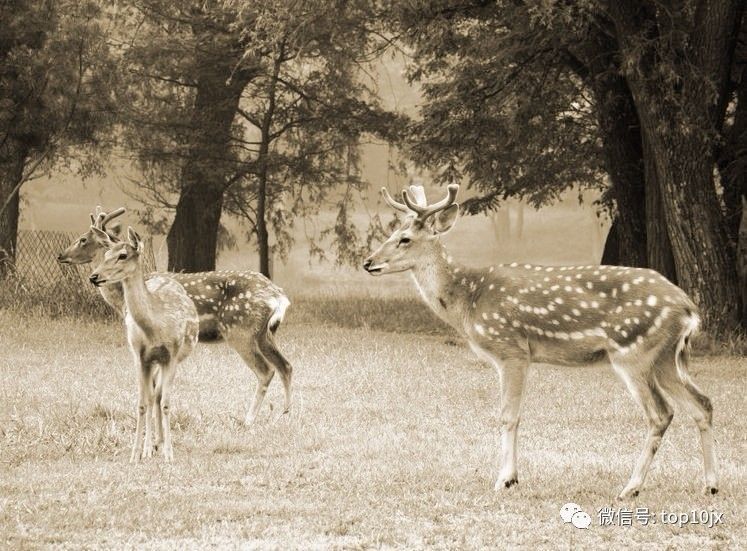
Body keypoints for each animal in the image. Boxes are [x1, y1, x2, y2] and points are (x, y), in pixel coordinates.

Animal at [57, 208, 292, 426]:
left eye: (83, 239)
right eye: (105, 255)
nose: (61, 255)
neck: (122, 301)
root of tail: (278, 295)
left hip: (240, 330)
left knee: (266, 370)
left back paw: (249, 420)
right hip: (264, 334)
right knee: (285, 365)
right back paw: (285, 414)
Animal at [90, 226, 202, 464]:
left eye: (123, 255)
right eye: (106, 254)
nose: (94, 276)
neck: (155, 328)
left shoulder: (172, 355)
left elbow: (166, 403)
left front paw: (169, 453)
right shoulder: (140, 357)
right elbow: (142, 403)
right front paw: (136, 454)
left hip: (170, 359)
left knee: (158, 395)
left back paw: (159, 443)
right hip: (150, 362)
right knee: (152, 396)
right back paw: (150, 446)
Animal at [364, 185, 720, 500]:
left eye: (405, 239)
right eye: (391, 233)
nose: (369, 262)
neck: (468, 300)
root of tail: (690, 310)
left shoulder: (512, 349)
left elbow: (508, 415)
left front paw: (506, 480)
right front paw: (510, 477)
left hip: (634, 352)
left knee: (662, 413)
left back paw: (630, 488)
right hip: (667, 359)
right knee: (702, 403)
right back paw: (710, 485)